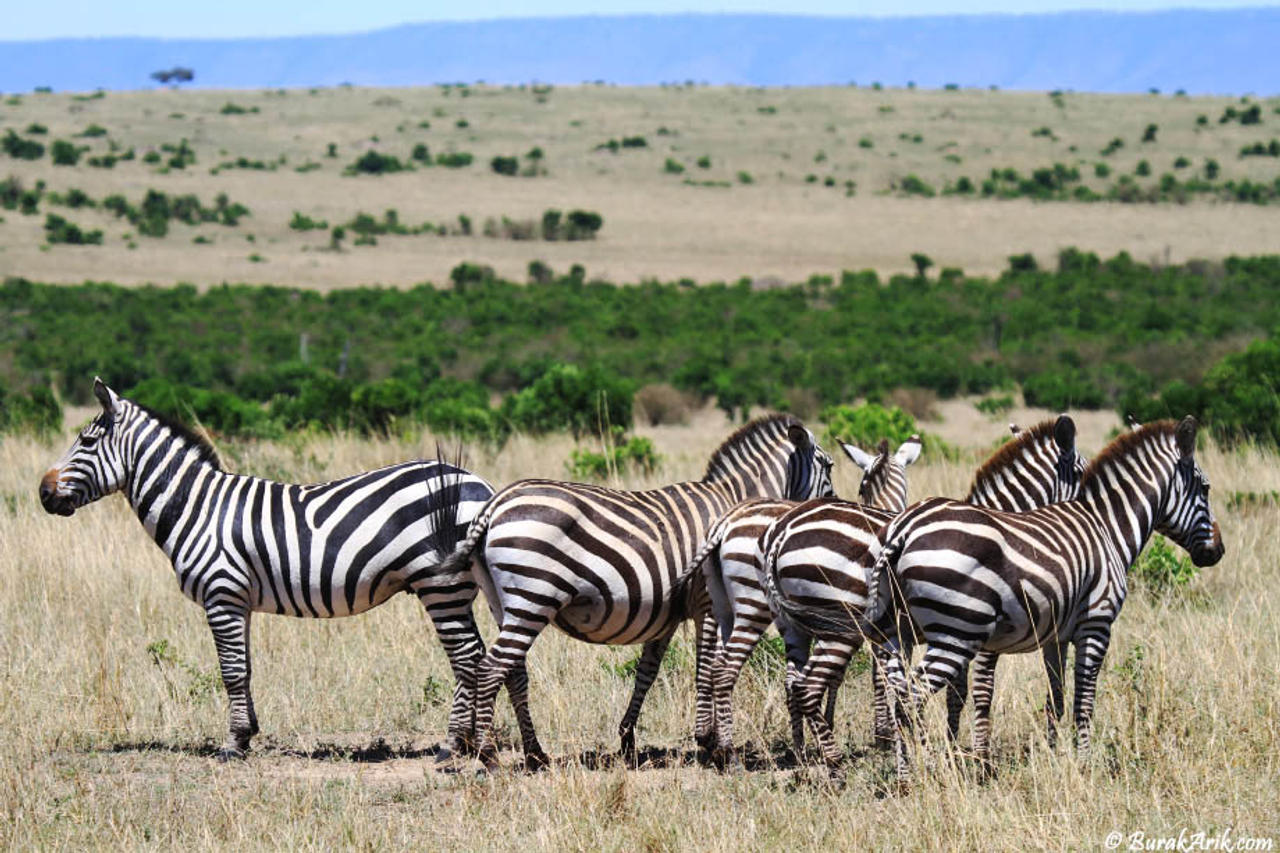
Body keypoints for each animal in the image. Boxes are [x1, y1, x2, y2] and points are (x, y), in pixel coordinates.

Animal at [39, 378, 506, 761]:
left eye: (85, 441)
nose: (42, 493)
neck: (196, 507)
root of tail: (481, 485)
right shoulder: (238, 601)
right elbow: (244, 668)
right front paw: (247, 736)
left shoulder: (222, 593)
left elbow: (230, 671)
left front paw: (232, 745)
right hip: (459, 588)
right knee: (477, 655)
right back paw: (470, 742)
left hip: (441, 585)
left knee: (467, 657)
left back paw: (454, 744)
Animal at [439, 414, 835, 770]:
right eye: (829, 467)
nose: (829, 511)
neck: (735, 503)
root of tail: (493, 506)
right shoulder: (706, 603)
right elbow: (706, 668)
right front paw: (710, 742)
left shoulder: (665, 616)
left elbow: (648, 672)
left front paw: (628, 739)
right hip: (533, 599)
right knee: (493, 668)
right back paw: (489, 755)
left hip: (502, 603)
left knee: (512, 672)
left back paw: (535, 754)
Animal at [690, 436, 921, 762]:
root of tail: (726, 523)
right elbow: (879, 677)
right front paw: (885, 734)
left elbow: (835, 677)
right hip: (754, 606)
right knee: (727, 670)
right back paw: (730, 754)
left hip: (726, 607)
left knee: (717, 665)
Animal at [761, 416, 1086, 766]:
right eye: (1082, 473)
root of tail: (784, 532)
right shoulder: (972, 632)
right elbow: (977, 691)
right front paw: (972, 753)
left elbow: (951, 692)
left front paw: (945, 746)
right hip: (836, 625)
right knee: (809, 684)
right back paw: (829, 756)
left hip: (794, 624)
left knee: (793, 683)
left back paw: (803, 753)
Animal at [837, 417, 1222, 780]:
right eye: (1205, 488)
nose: (1217, 552)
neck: (1105, 525)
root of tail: (901, 531)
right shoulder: (1096, 625)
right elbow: (1081, 700)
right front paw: (1081, 764)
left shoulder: (1054, 636)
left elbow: (1055, 698)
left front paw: (1053, 755)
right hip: (956, 633)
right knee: (909, 698)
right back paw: (929, 772)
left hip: (896, 632)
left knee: (894, 694)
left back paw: (905, 775)